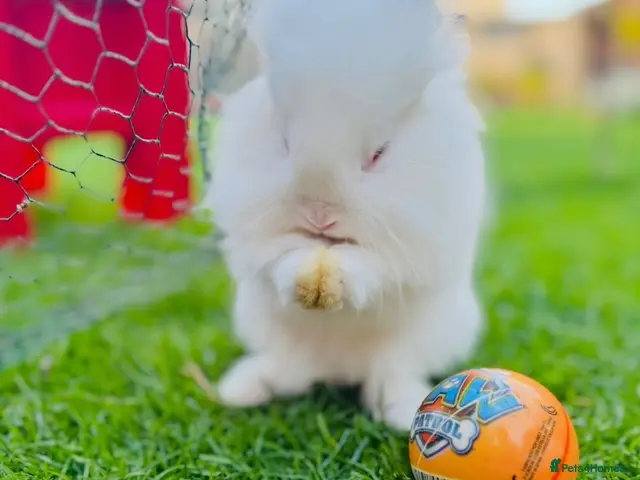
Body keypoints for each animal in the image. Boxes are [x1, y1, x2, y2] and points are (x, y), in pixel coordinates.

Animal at [202, 0, 487, 431]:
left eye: (379, 153)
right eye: (284, 142)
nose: (321, 215)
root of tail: (337, 369)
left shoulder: (411, 250)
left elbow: (374, 268)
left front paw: (335, 279)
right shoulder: (257, 241)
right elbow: (280, 257)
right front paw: (308, 279)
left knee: (387, 380)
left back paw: (406, 413)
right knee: (288, 377)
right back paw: (240, 391)